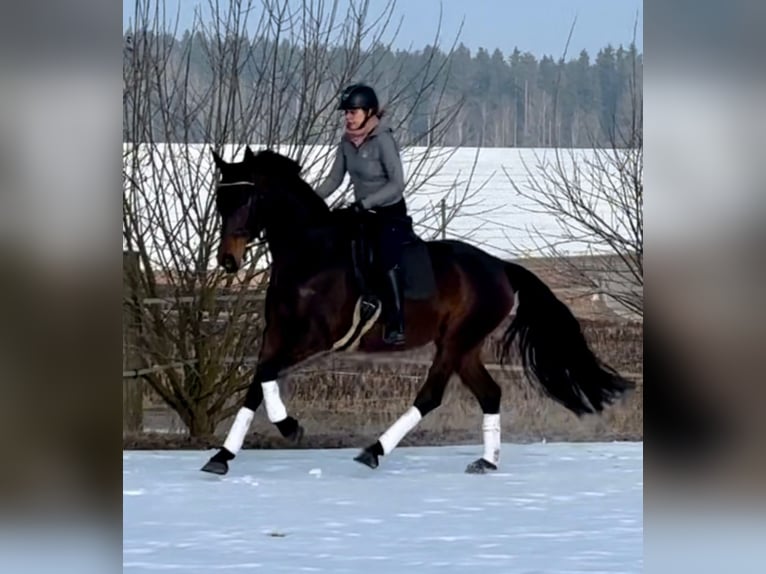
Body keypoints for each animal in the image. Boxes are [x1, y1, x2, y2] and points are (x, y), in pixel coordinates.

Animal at [200, 146, 634, 475]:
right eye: (221, 200)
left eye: (248, 198)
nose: (228, 261)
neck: (310, 254)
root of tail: (500, 266)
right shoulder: (276, 333)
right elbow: (258, 380)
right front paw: (222, 457)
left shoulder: (316, 337)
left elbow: (266, 374)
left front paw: (289, 427)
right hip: (464, 346)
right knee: (490, 393)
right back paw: (486, 462)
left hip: (456, 342)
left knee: (431, 395)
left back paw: (373, 451)